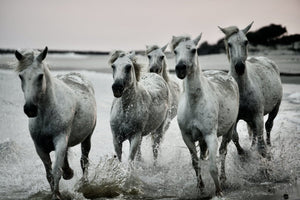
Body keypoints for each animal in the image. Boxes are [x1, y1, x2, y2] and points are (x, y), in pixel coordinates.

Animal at [14, 47, 96, 200]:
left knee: (84, 161)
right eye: (21, 76)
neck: (47, 114)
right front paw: (54, 191)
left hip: (87, 138)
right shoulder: (40, 147)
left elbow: (56, 171)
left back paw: (84, 182)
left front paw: (56, 195)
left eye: (40, 76)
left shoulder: (60, 140)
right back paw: (69, 173)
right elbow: (49, 175)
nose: (30, 109)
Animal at [171, 35, 239, 196]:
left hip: (229, 131)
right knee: (203, 156)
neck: (195, 103)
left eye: (193, 50)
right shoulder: (187, 137)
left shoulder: (210, 136)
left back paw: (223, 179)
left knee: (223, 153)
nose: (180, 68)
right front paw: (200, 187)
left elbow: (213, 166)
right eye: (175, 51)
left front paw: (219, 192)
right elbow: (196, 163)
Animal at [219, 21, 282, 156]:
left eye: (246, 41)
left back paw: (269, 145)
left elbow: (260, 139)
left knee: (268, 126)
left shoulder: (258, 116)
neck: (241, 90)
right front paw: (242, 152)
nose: (239, 67)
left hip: (275, 108)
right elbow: (235, 137)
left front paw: (264, 155)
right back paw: (252, 147)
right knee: (253, 131)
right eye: (229, 44)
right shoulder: (234, 120)